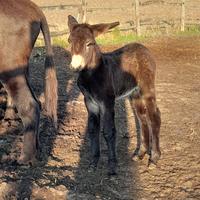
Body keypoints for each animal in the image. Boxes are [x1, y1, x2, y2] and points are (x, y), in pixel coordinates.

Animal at [0, 0, 57, 164]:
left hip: (9, 67)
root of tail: (33, 7)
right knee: (36, 103)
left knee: (29, 105)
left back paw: (25, 158)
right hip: (22, 68)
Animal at [67, 16, 161, 175]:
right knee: (142, 118)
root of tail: (142, 47)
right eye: (69, 41)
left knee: (154, 117)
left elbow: (108, 131)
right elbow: (93, 130)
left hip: (147, 89)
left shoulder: (107, 102)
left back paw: (154, 158)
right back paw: (140, 153)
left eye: (89, 43)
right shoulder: (90, 102)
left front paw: (112, 166)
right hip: (134, 93)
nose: (75, 67)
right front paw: (93, 162)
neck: (92, 74)